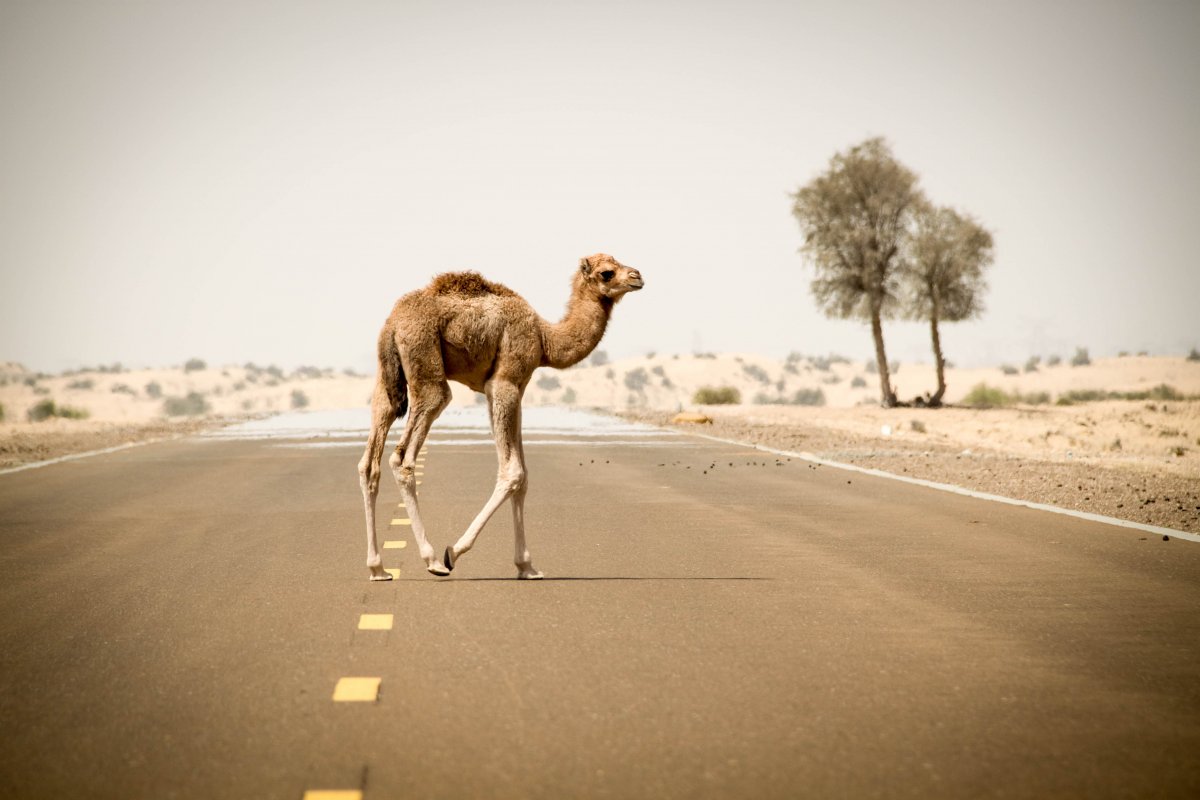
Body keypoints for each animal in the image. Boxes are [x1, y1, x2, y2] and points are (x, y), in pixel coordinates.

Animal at [355, 253, 643, 578]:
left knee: (370, 461)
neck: (544, 338)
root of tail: (391, 325)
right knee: (403, 456)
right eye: (607, 273)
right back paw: (432, 561)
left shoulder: (514, 389)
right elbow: (513, 472)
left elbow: (524, 476)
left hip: (386, 381)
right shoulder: (504, 382)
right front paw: (454, 551)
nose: (637, 276)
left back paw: (378, 568)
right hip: (426, 366)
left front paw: (527, 566)